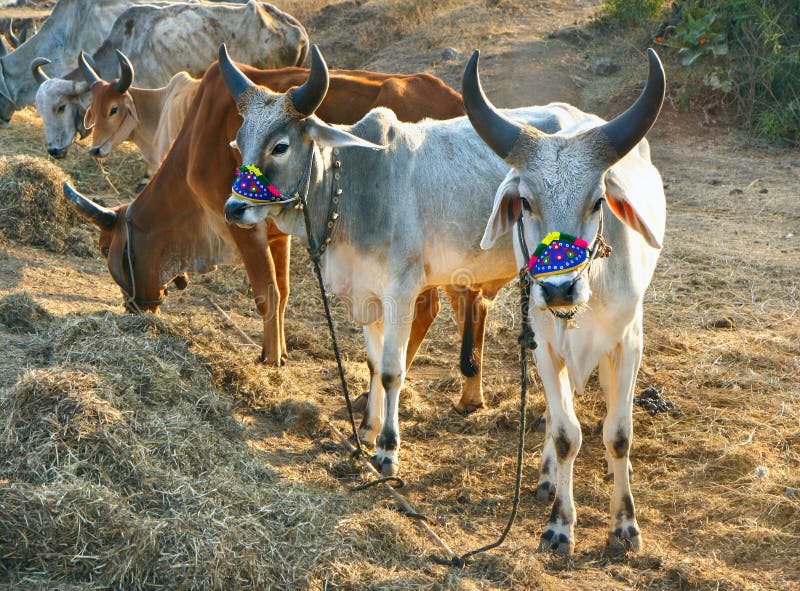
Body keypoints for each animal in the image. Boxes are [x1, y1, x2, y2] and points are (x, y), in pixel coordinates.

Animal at [67, 60, 494, 412]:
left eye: (106, 248)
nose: (134, 311)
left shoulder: (243, 226)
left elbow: (266, 294)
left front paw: (270, 361)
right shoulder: (278, 234)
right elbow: (283, 292)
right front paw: (278, 351)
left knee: (428, 310)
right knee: (468, 307)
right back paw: (466, 396)